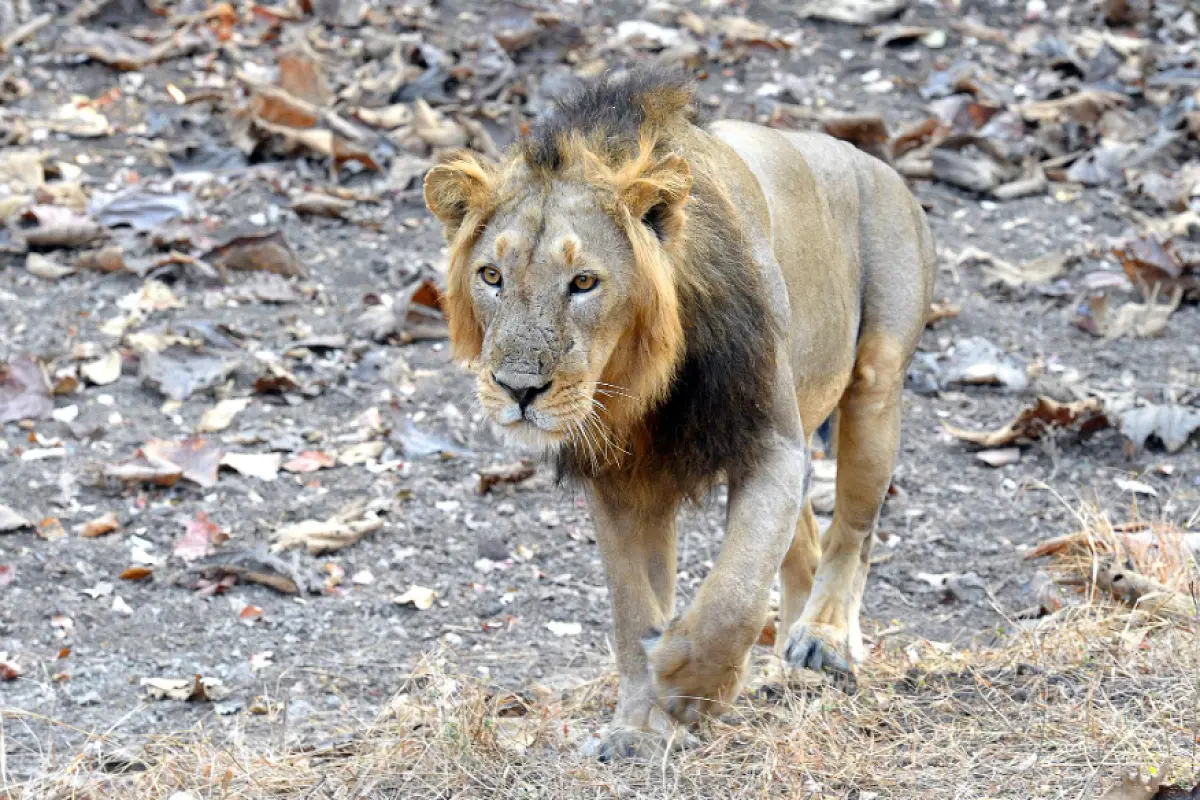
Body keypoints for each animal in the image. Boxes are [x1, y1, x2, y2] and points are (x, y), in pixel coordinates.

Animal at [424, 68, 935, 759]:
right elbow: (633, 611)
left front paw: (692, 685)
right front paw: (636, 728)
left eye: (583, 282)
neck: (636, 383)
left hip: (877, 380)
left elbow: (735, 590)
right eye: (491, 276)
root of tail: (875, 162)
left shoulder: (769, 444)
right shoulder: (619, 485)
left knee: (853, 529)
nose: (517, 389)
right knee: (803, 540)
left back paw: (822, 638)